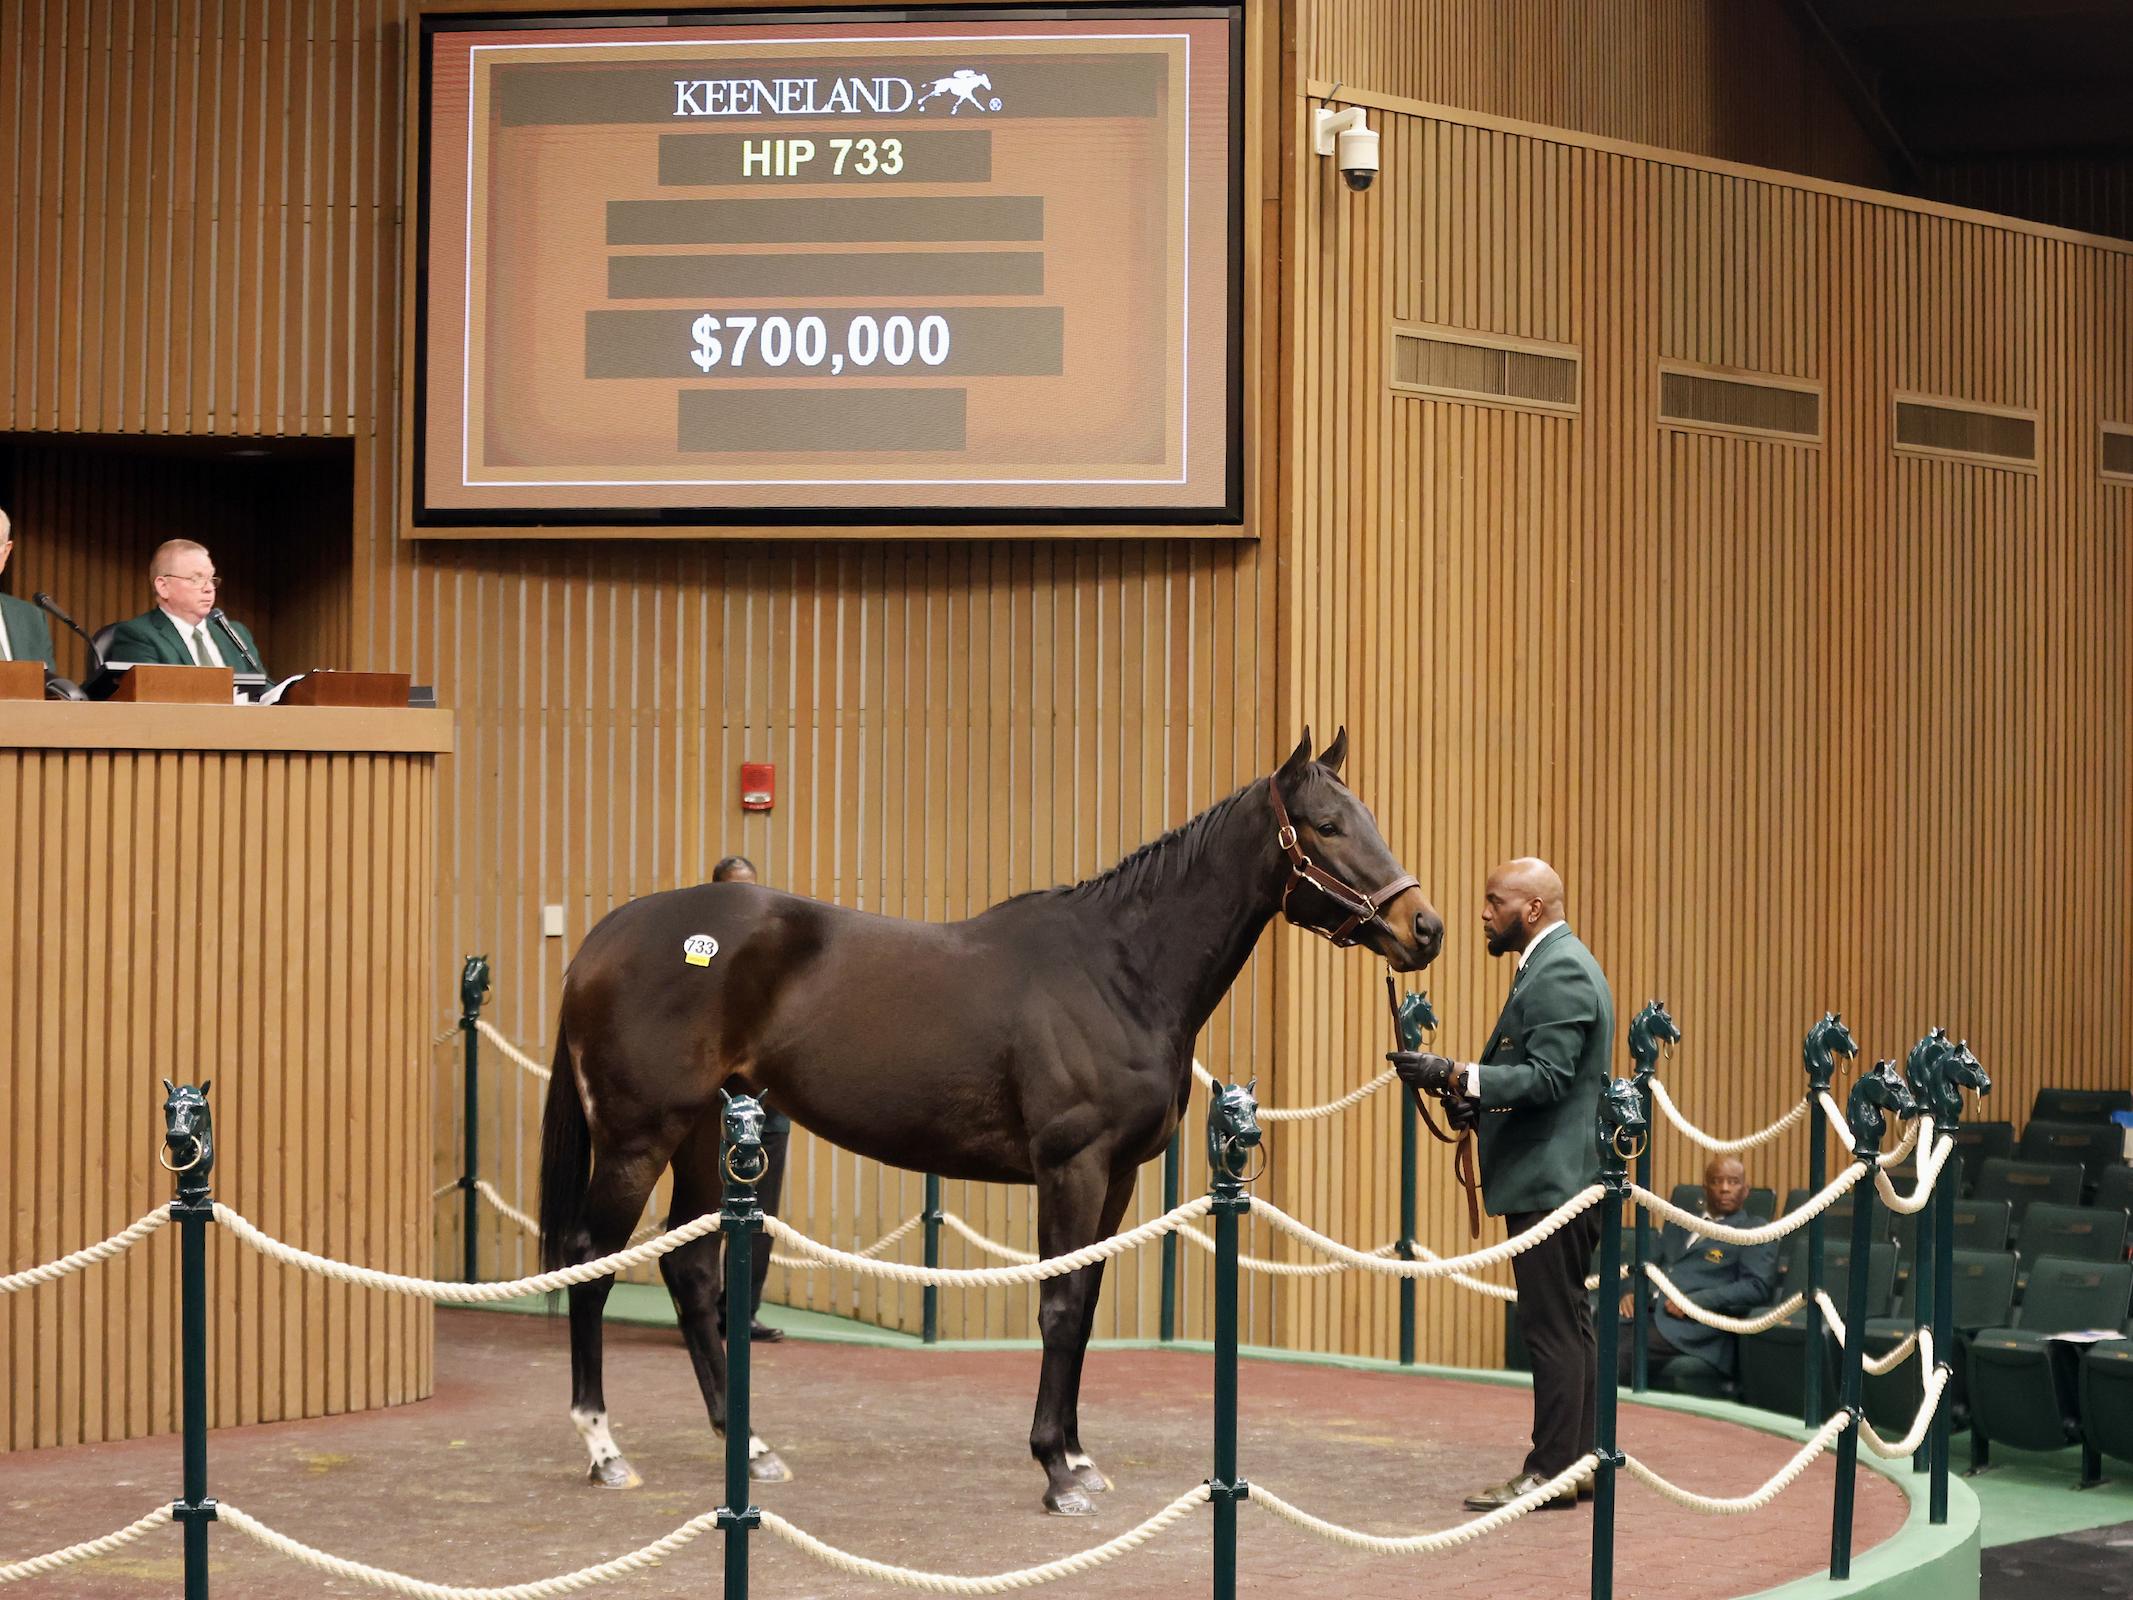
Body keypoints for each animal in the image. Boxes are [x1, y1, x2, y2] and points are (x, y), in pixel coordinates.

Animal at [537, 728, 1442, 1513]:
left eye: (1366, 817)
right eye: (1325, 825)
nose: (1423, 928)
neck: (1119, 970)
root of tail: (606, 938)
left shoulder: (1118, 1177)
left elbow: (1085, 1300)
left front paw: (1077, 1453)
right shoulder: (1072, 1166)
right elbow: (1060, 1307)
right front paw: (1056, 1471)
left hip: (702, 1133)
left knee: (688, 1271)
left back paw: (749, 1445)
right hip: (638, 1137)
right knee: (593, 1261)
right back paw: (604, 1449)